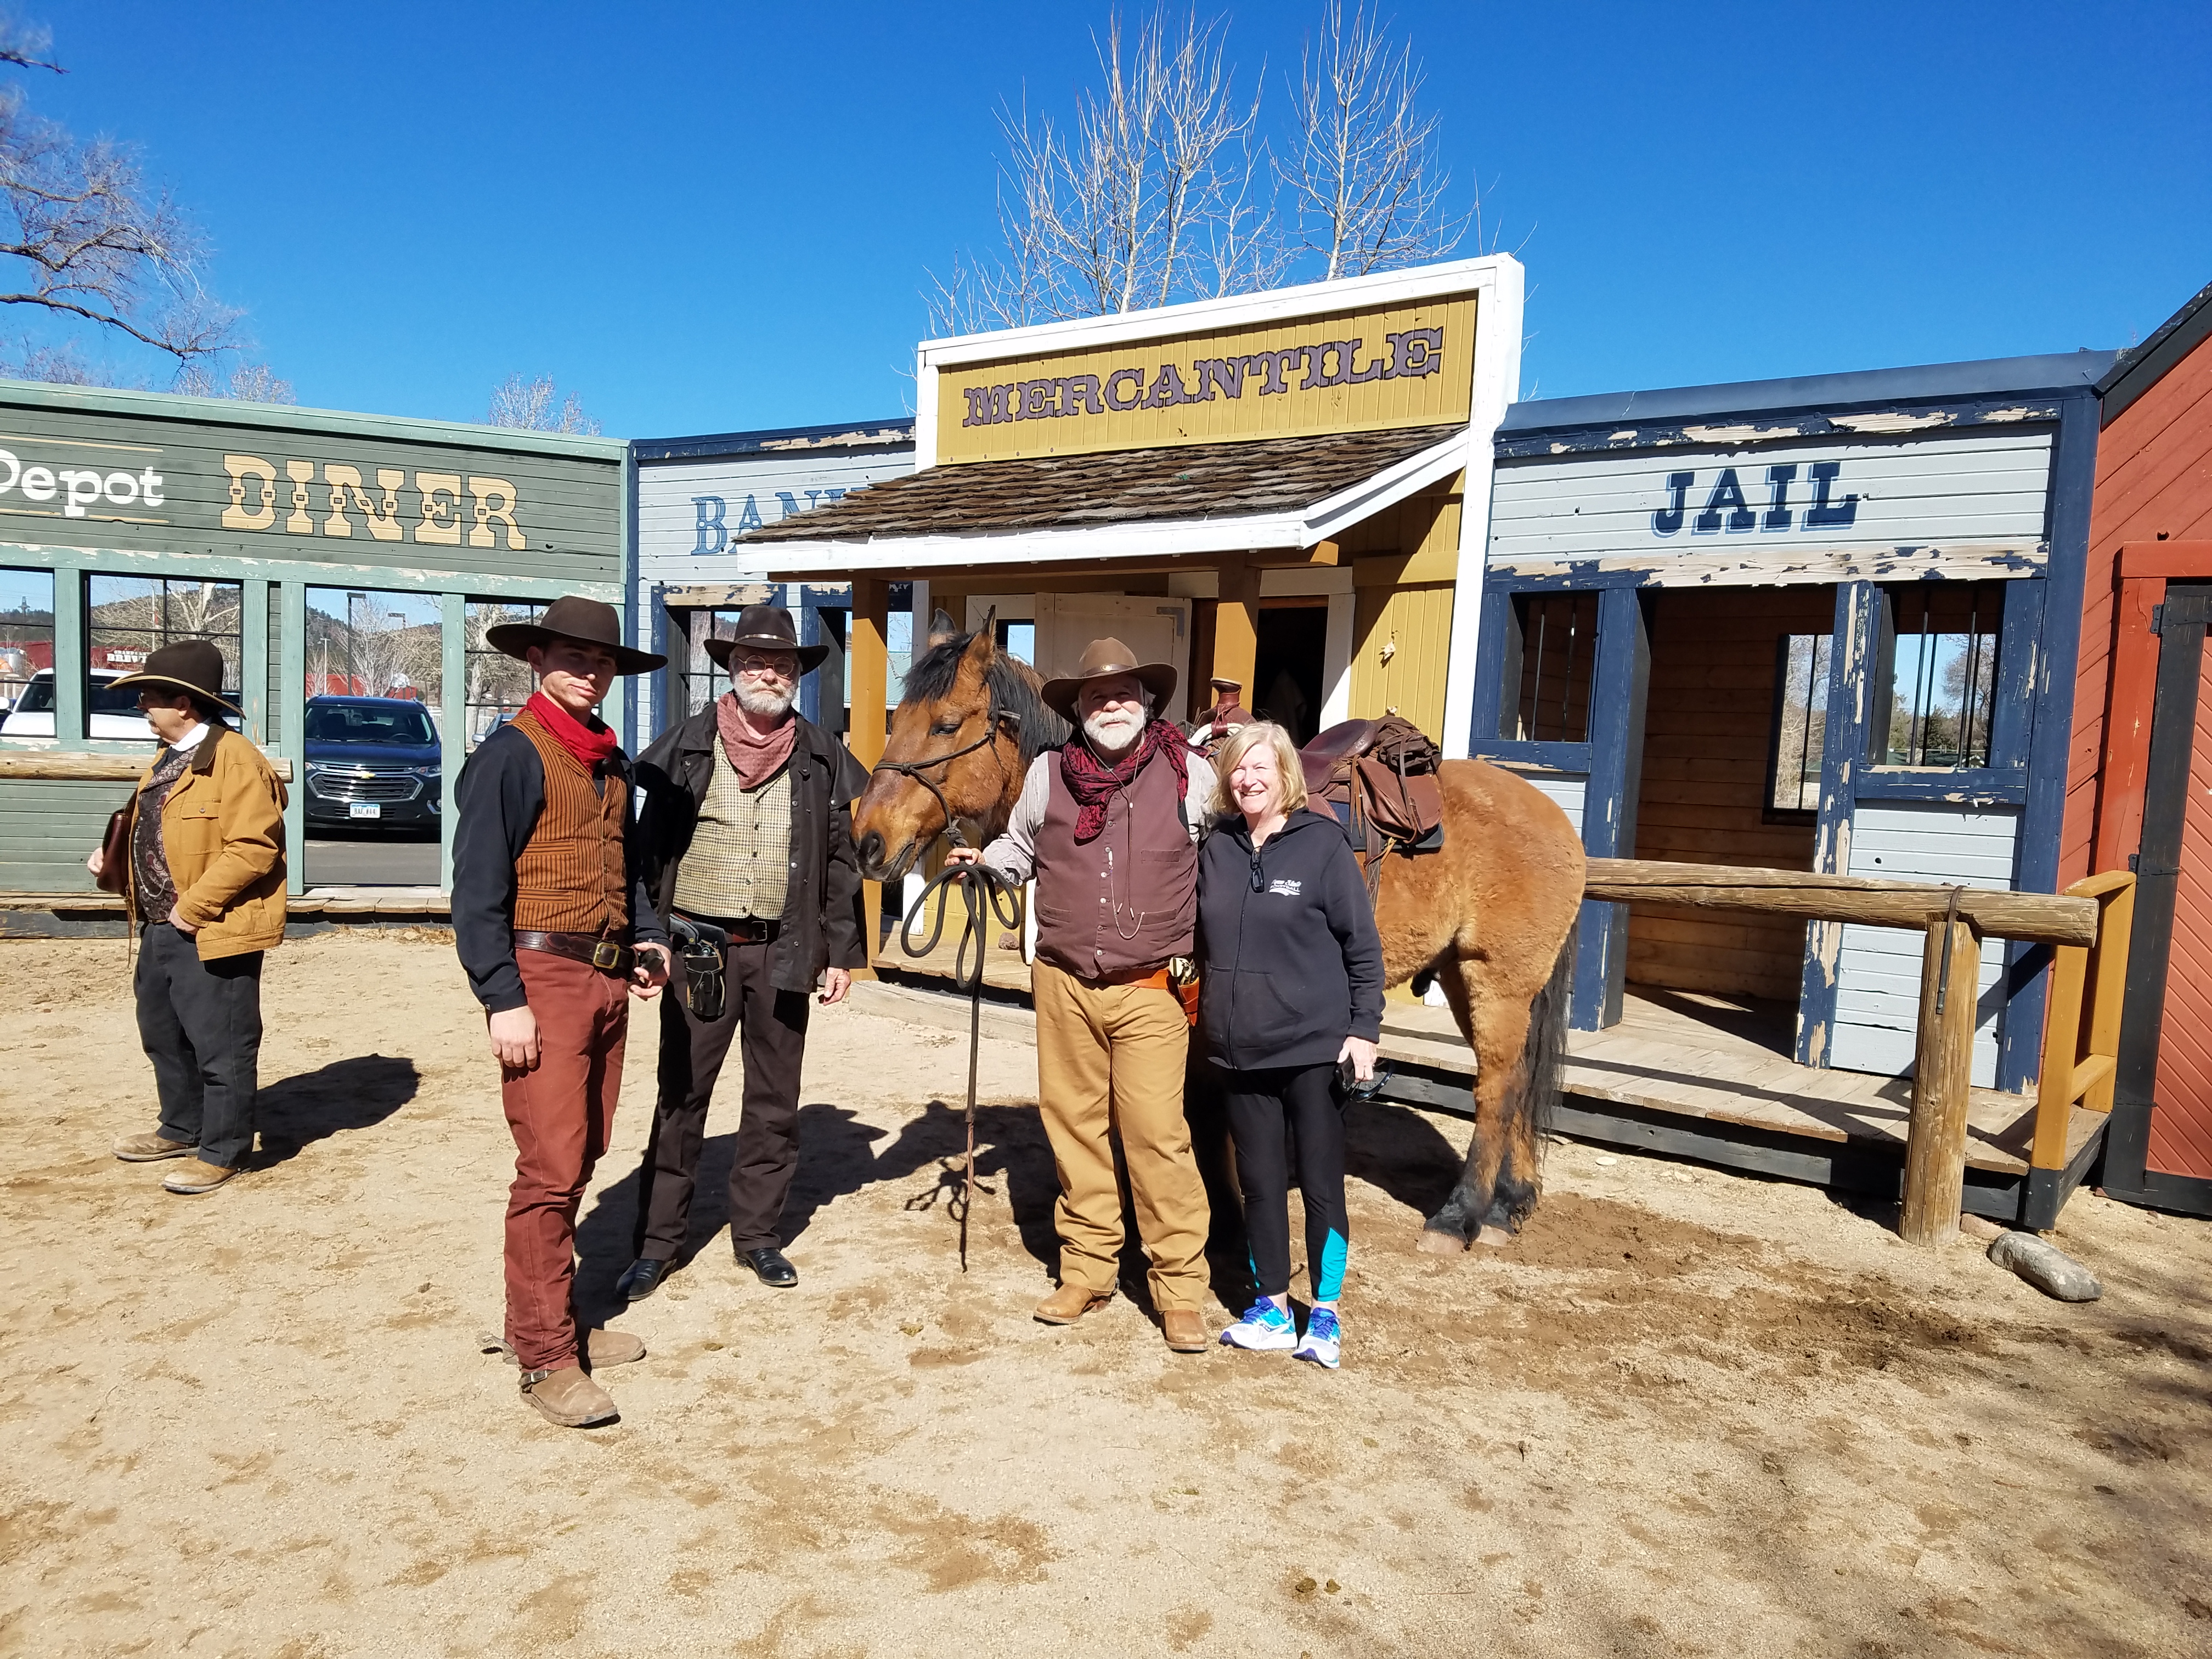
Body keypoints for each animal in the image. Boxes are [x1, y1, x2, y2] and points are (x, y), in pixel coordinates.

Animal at [850, 617, 1587, 1250]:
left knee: (1495, 1086)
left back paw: (1462, 1215)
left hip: (1497, 979)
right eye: (897, 720)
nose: (867, 841)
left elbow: (1203, 1117)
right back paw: (1510, 1202)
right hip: (1469, 976)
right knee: (1519, 1079)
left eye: (946, 724)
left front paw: (1223, 1221)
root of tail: (1552, 814)